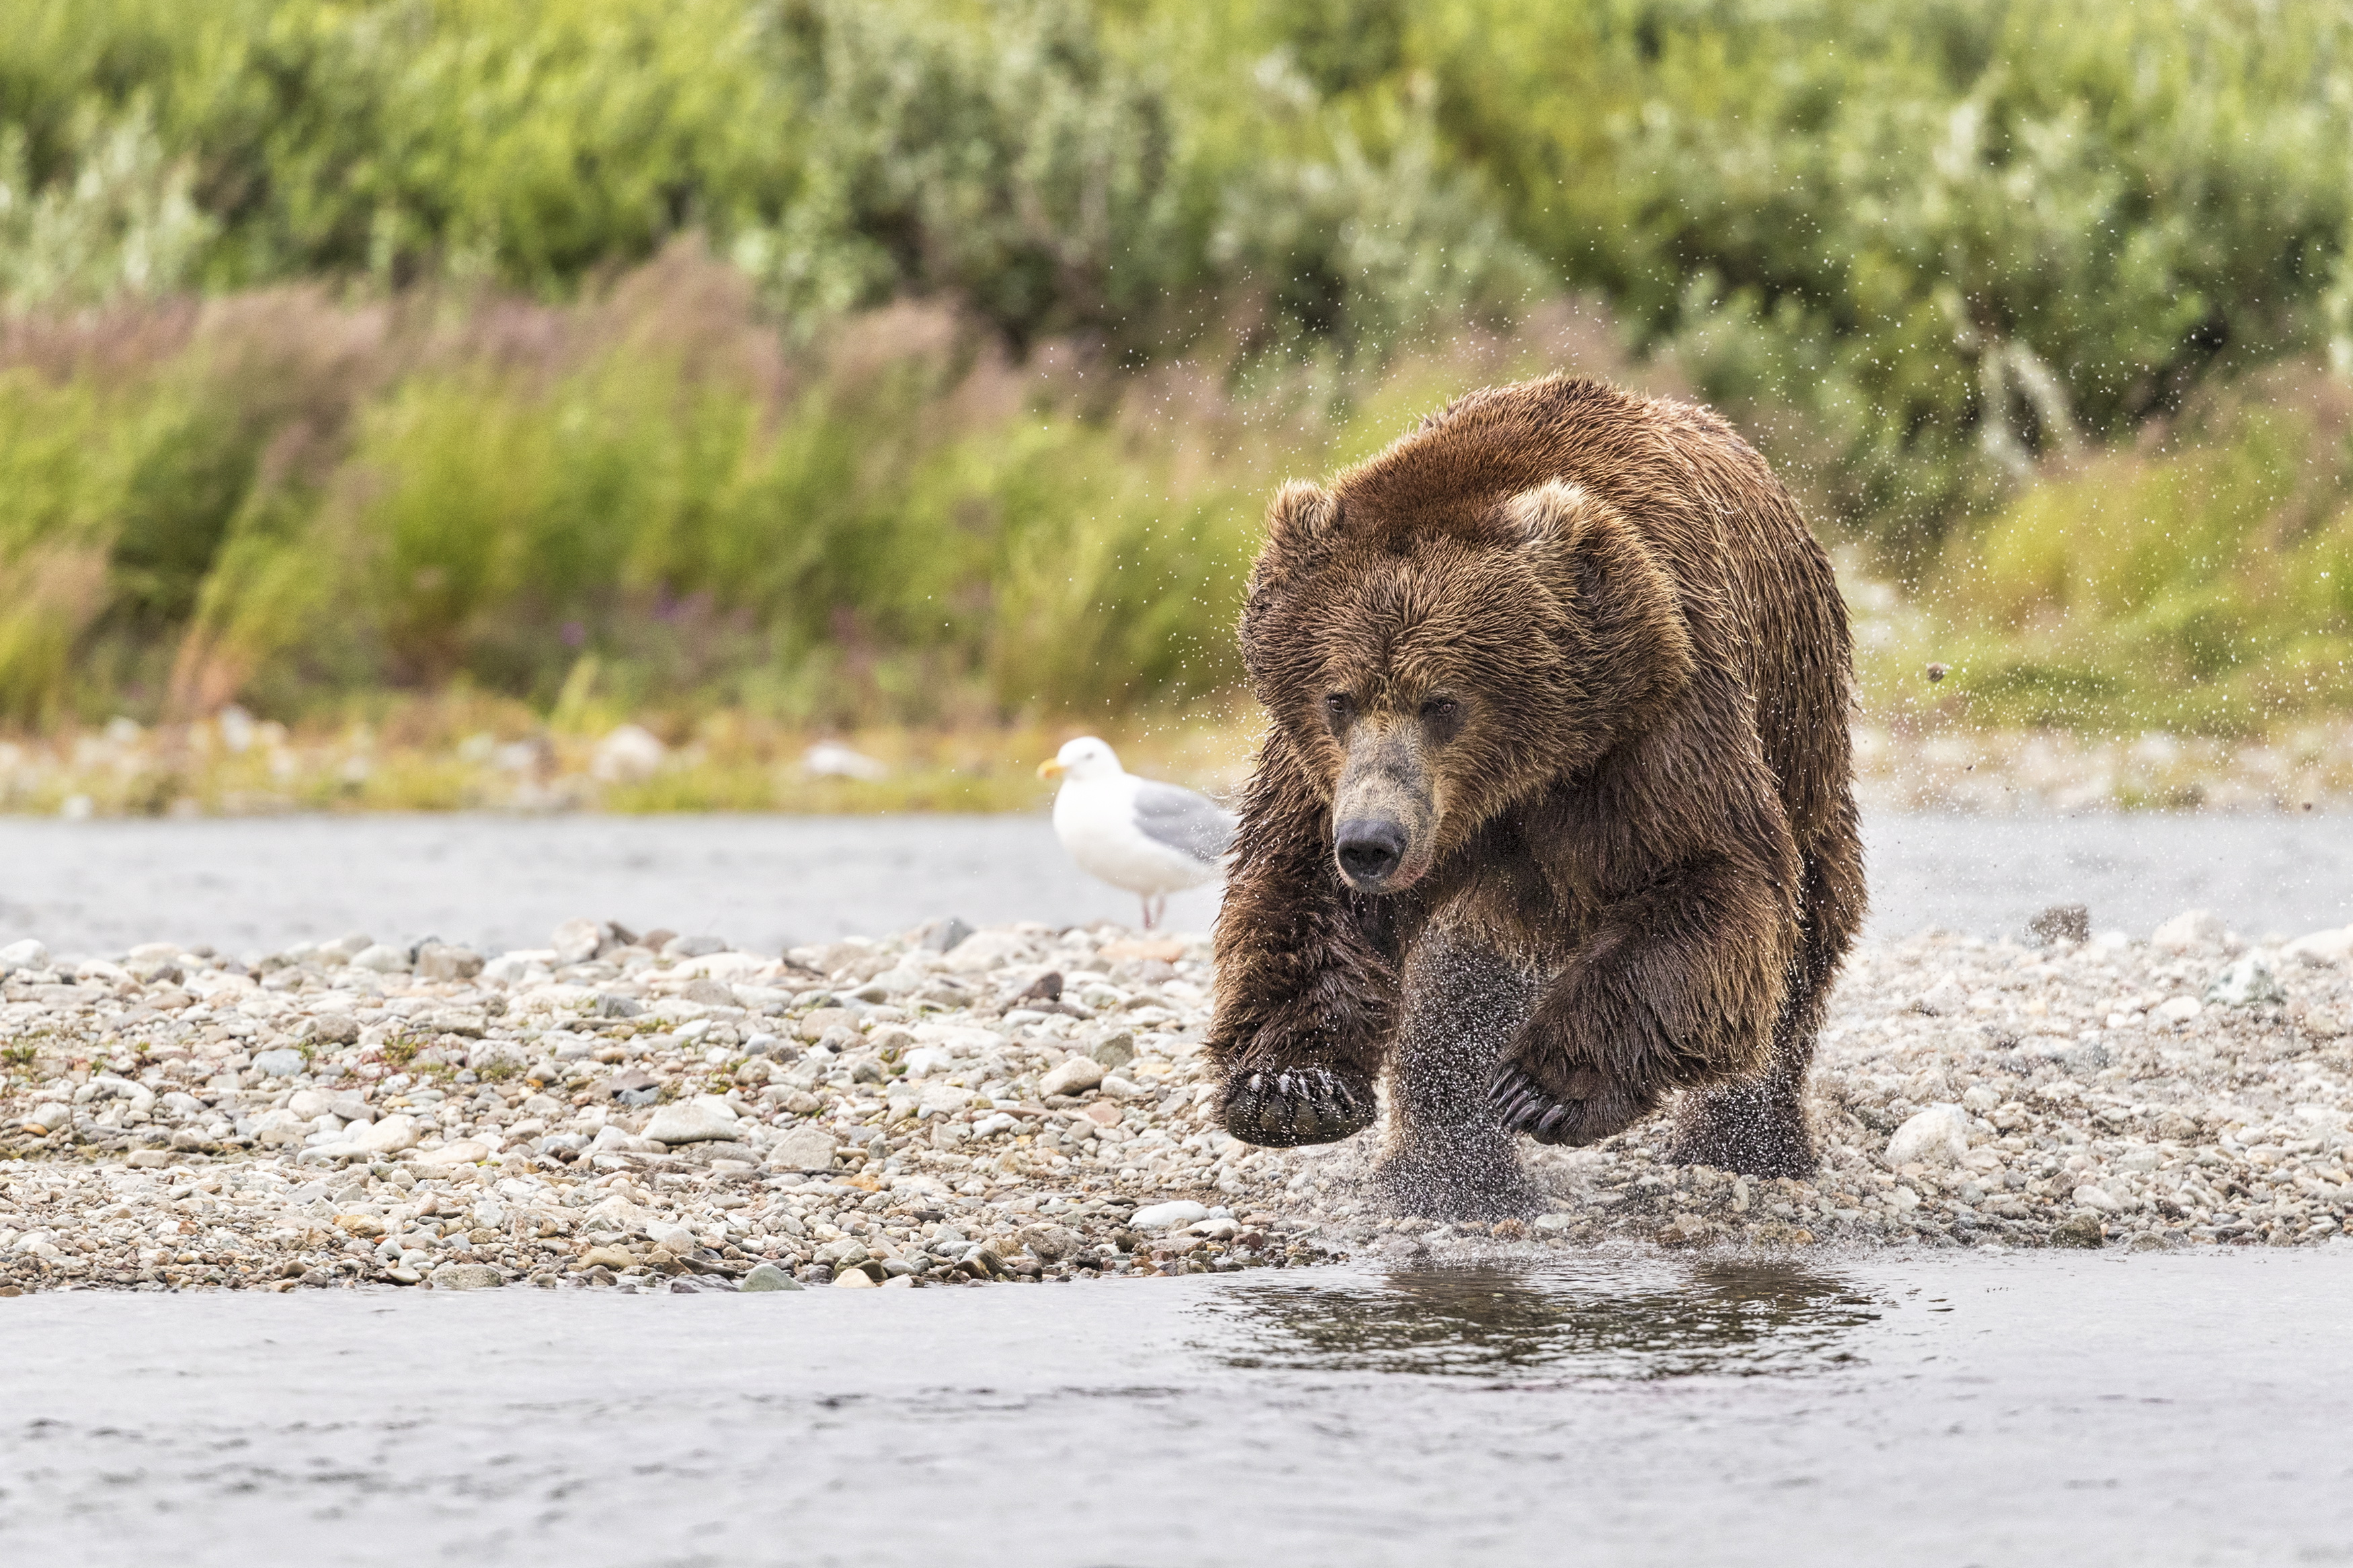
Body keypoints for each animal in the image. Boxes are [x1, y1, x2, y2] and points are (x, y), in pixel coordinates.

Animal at [1214, 371, 1854, 1212]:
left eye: (1442, 701)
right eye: (1338, 698)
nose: (1372, 843)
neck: (1519, 771)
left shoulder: (1653, 711)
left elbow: (1705, 873)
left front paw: (1544, 1087)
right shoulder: (1322, 772)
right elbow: (1300, 886)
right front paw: (1287, 1086)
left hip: (1804, 750)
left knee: (1805, 937)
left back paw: (1745, 1145)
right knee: (1457, 981)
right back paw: (1447, 1177)